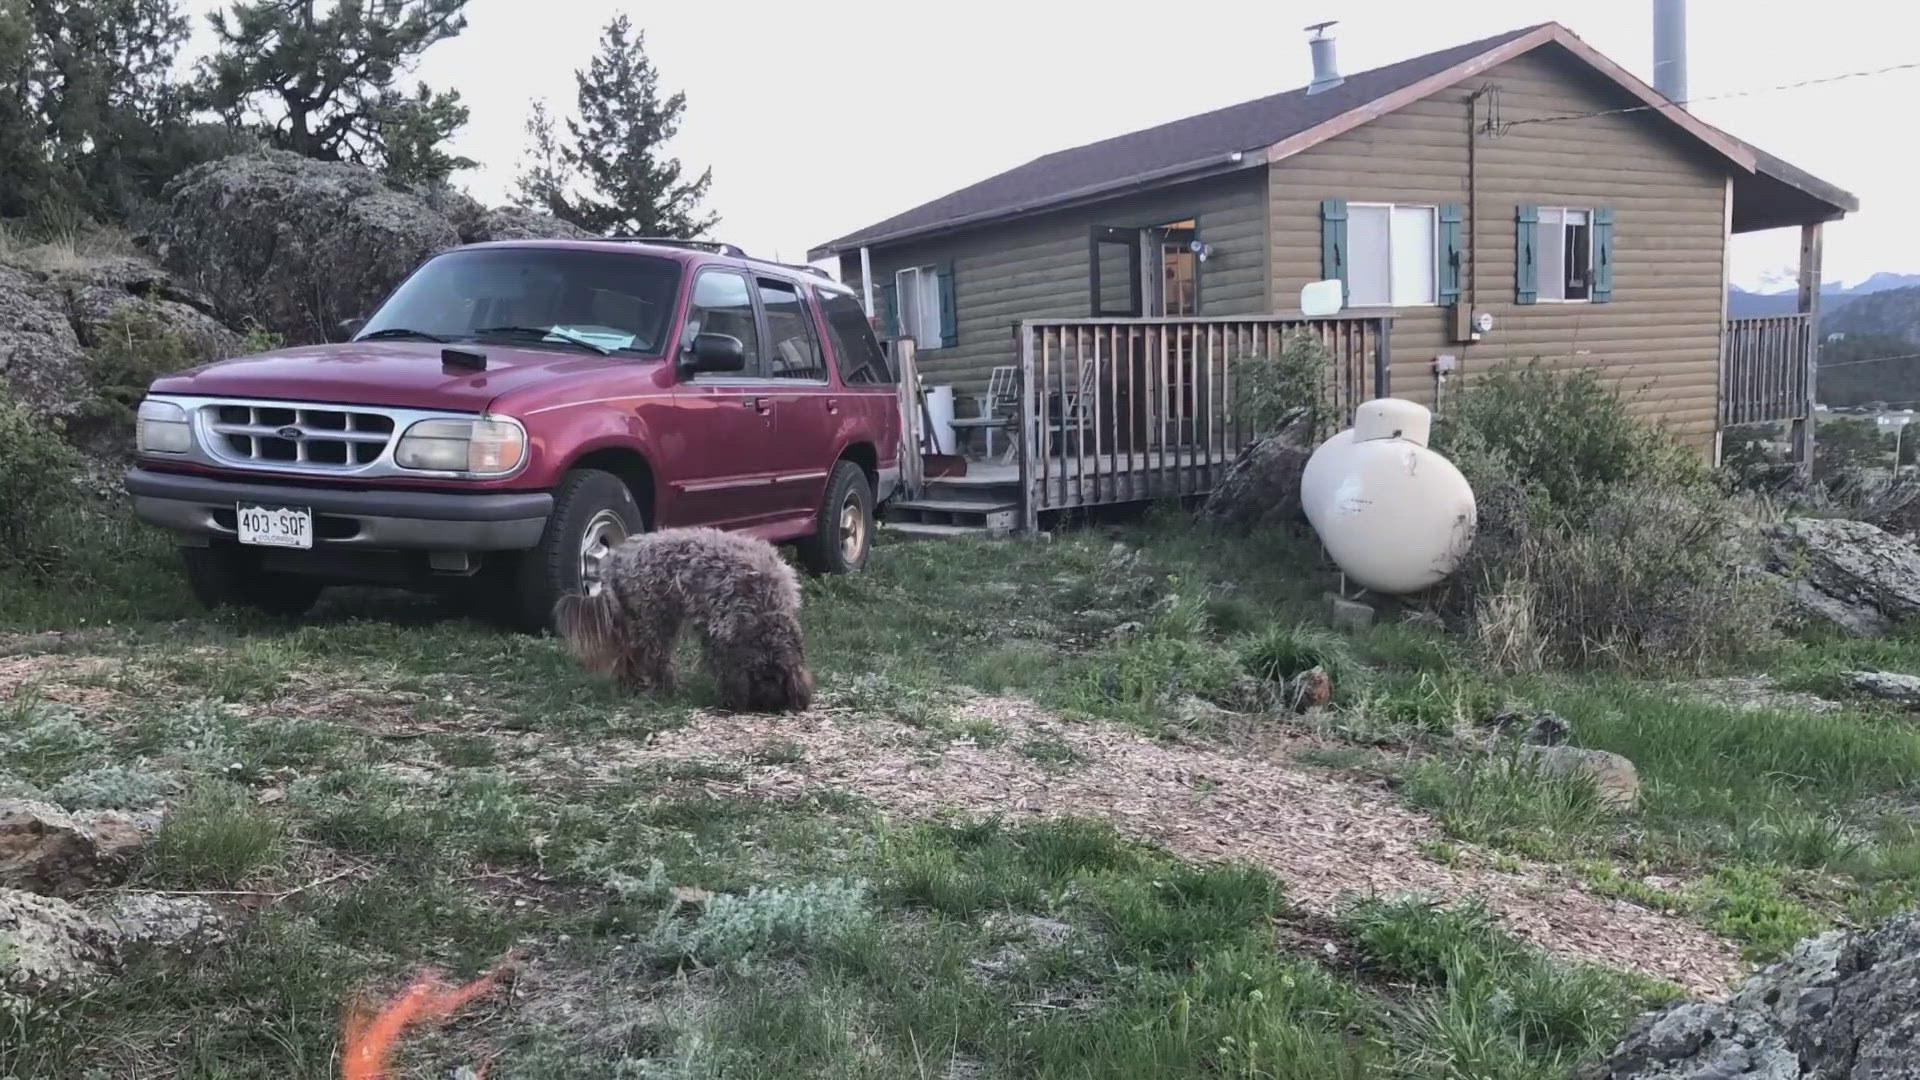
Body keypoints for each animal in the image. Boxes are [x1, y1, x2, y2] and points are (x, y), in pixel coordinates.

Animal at [552, 526, 814, 711]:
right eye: (758, 677)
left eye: (777, 678)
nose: (767, 705)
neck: (763, 607)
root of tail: (615, 561)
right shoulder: (718, 632)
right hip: (653, 619)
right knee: (653, 659)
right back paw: (667, 689)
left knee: (628, 655)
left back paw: (631, 685)